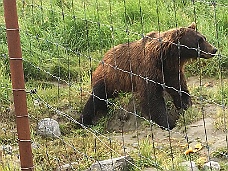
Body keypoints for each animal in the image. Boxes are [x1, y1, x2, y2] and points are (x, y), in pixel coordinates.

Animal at [80, 22, 217, 130]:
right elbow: (152, 97)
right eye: (199, 40)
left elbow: (178, 87)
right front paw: (168, 122)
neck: (167, 57)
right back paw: (84, 121)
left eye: (204, 38)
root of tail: (104, 57)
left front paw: (186, 105)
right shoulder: (148, 69)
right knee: (96, 97)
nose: (214, 50)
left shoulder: (170, 70)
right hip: (108, 78)